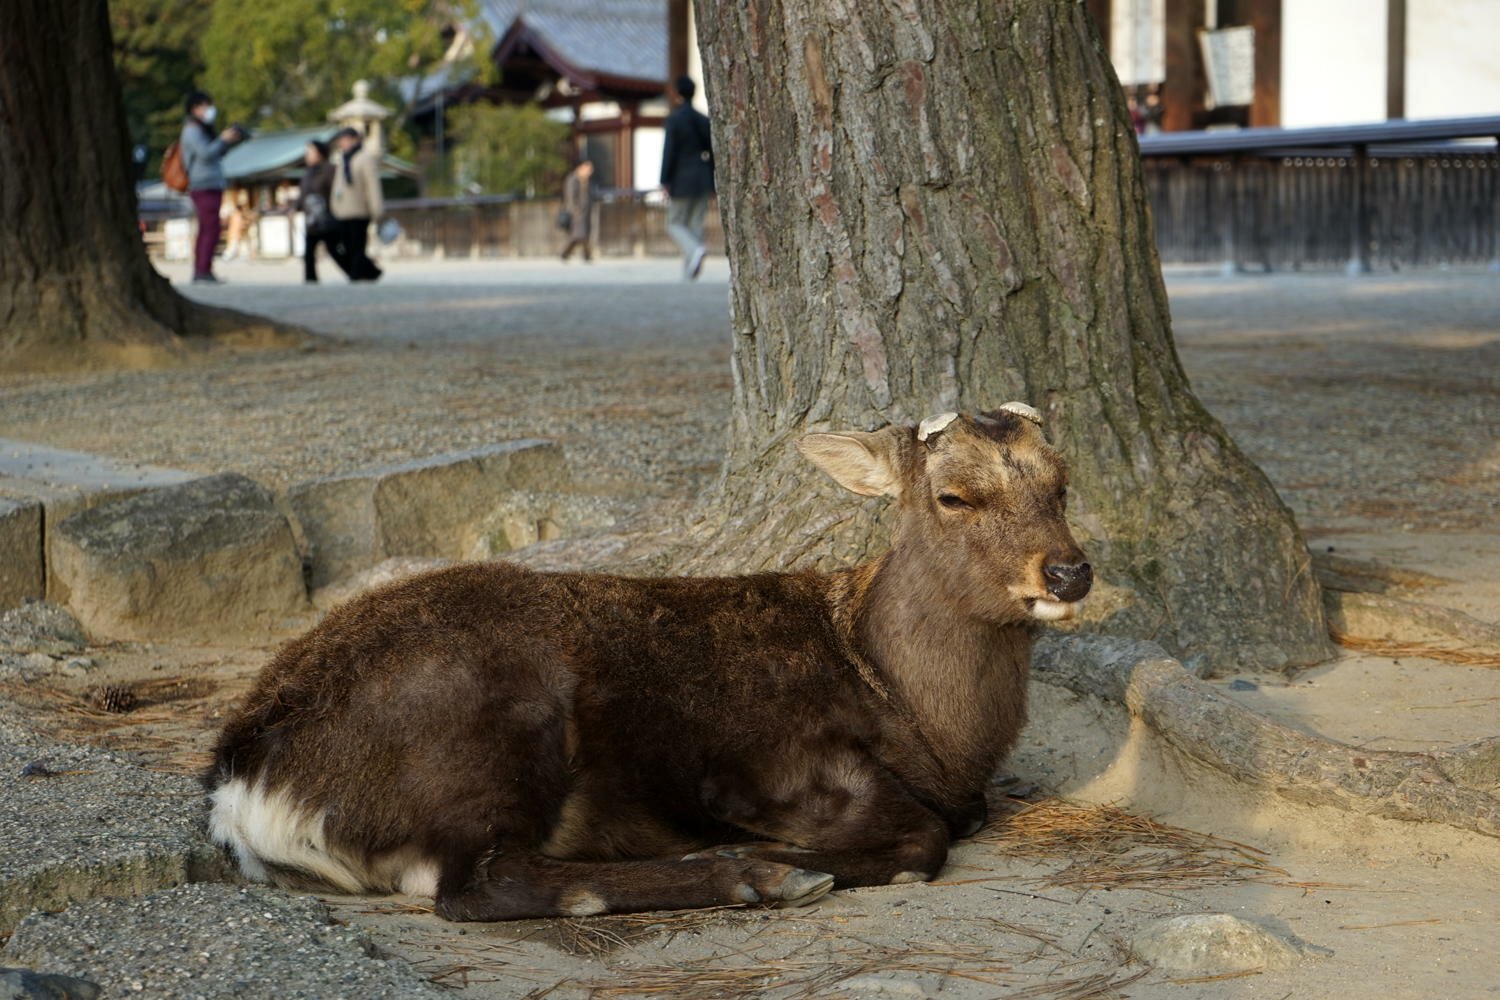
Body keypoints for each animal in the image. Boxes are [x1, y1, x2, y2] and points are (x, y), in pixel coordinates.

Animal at [205, 401, 1092, 917]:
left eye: (1062, 483)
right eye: (954, 495)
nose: (1068, 571)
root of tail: (244, 785)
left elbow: (956, 820)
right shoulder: (761, 763)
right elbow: (923, 837)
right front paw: (793, 855)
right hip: (489, 724)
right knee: (478, 886)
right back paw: (750, 874)